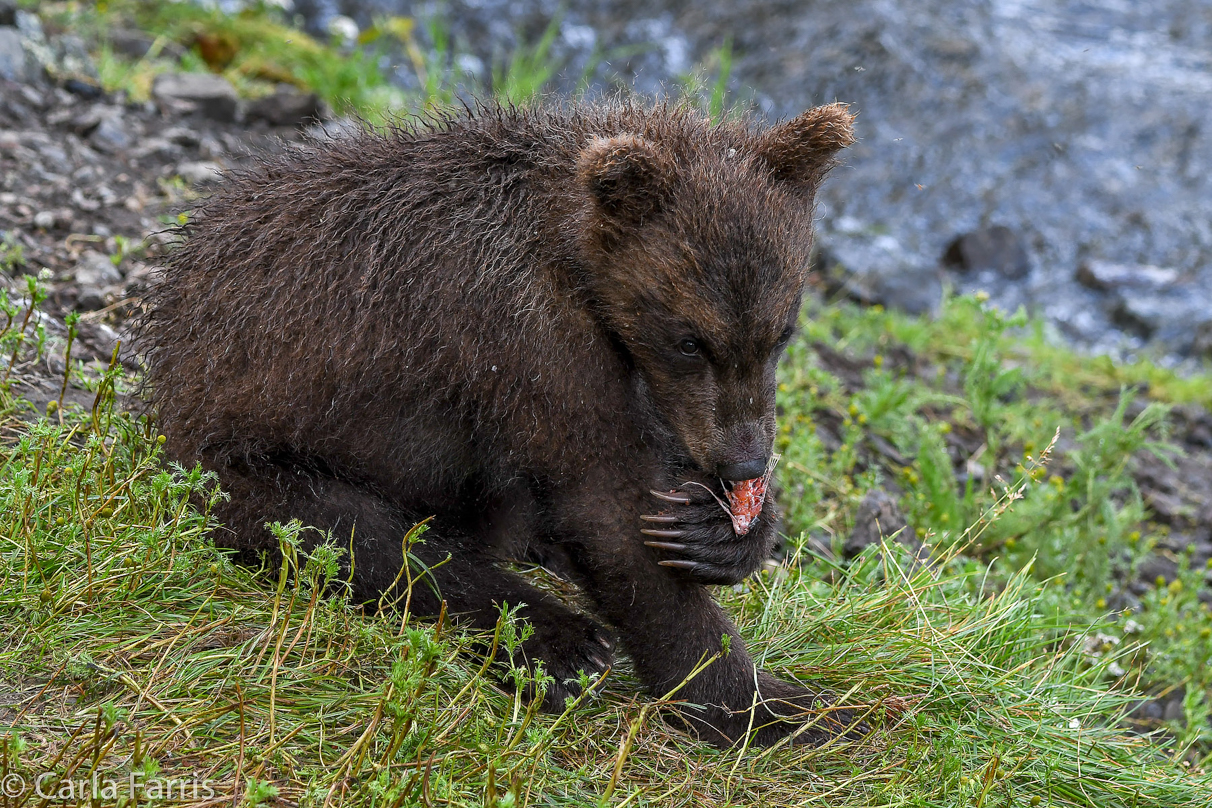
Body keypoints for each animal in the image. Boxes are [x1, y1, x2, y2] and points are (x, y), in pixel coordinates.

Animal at [141, 98, 858, 751]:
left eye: (780, 333)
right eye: (689, 340)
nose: (745, 462)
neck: (573, 258)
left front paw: (719, 529)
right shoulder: (522, 335)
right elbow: (605, 503)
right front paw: (768, 706)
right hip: (238, 459)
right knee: (363, 539)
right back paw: (560, 644)